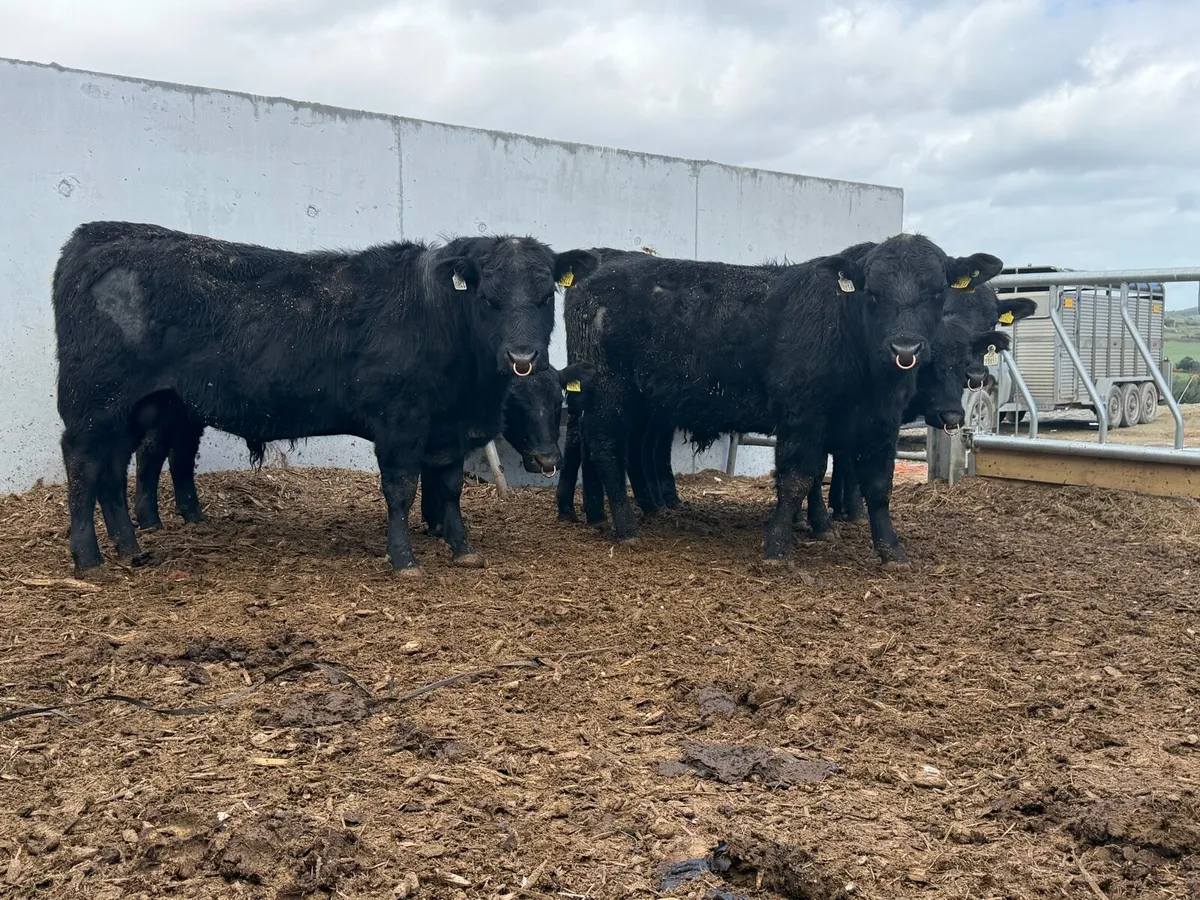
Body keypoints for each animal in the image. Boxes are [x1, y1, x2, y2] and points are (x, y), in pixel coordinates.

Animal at [51, 220, 599, 574]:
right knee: (84, 464)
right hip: (95, 403)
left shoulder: (446, 430)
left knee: (115, 468)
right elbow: (401, 489)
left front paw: (462, 548)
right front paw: (404, 559)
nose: (522, 354)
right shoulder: (399, 423)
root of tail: (93, 237)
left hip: (137, 407)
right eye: (488, 298)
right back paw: (88, 559)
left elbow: (448, 488)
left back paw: (130, 548)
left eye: (545, 296)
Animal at [561, 235, 1003, 567]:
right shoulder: (803, 416)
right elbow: (797, 478)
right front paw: (778, 547)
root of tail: (598, 271)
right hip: (608, 393)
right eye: (873, 293)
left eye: (936, 292)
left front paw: (891, 551)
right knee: (605, 448)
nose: (905, 347)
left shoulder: (881, 425)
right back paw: (625, 525)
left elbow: (877, 485)